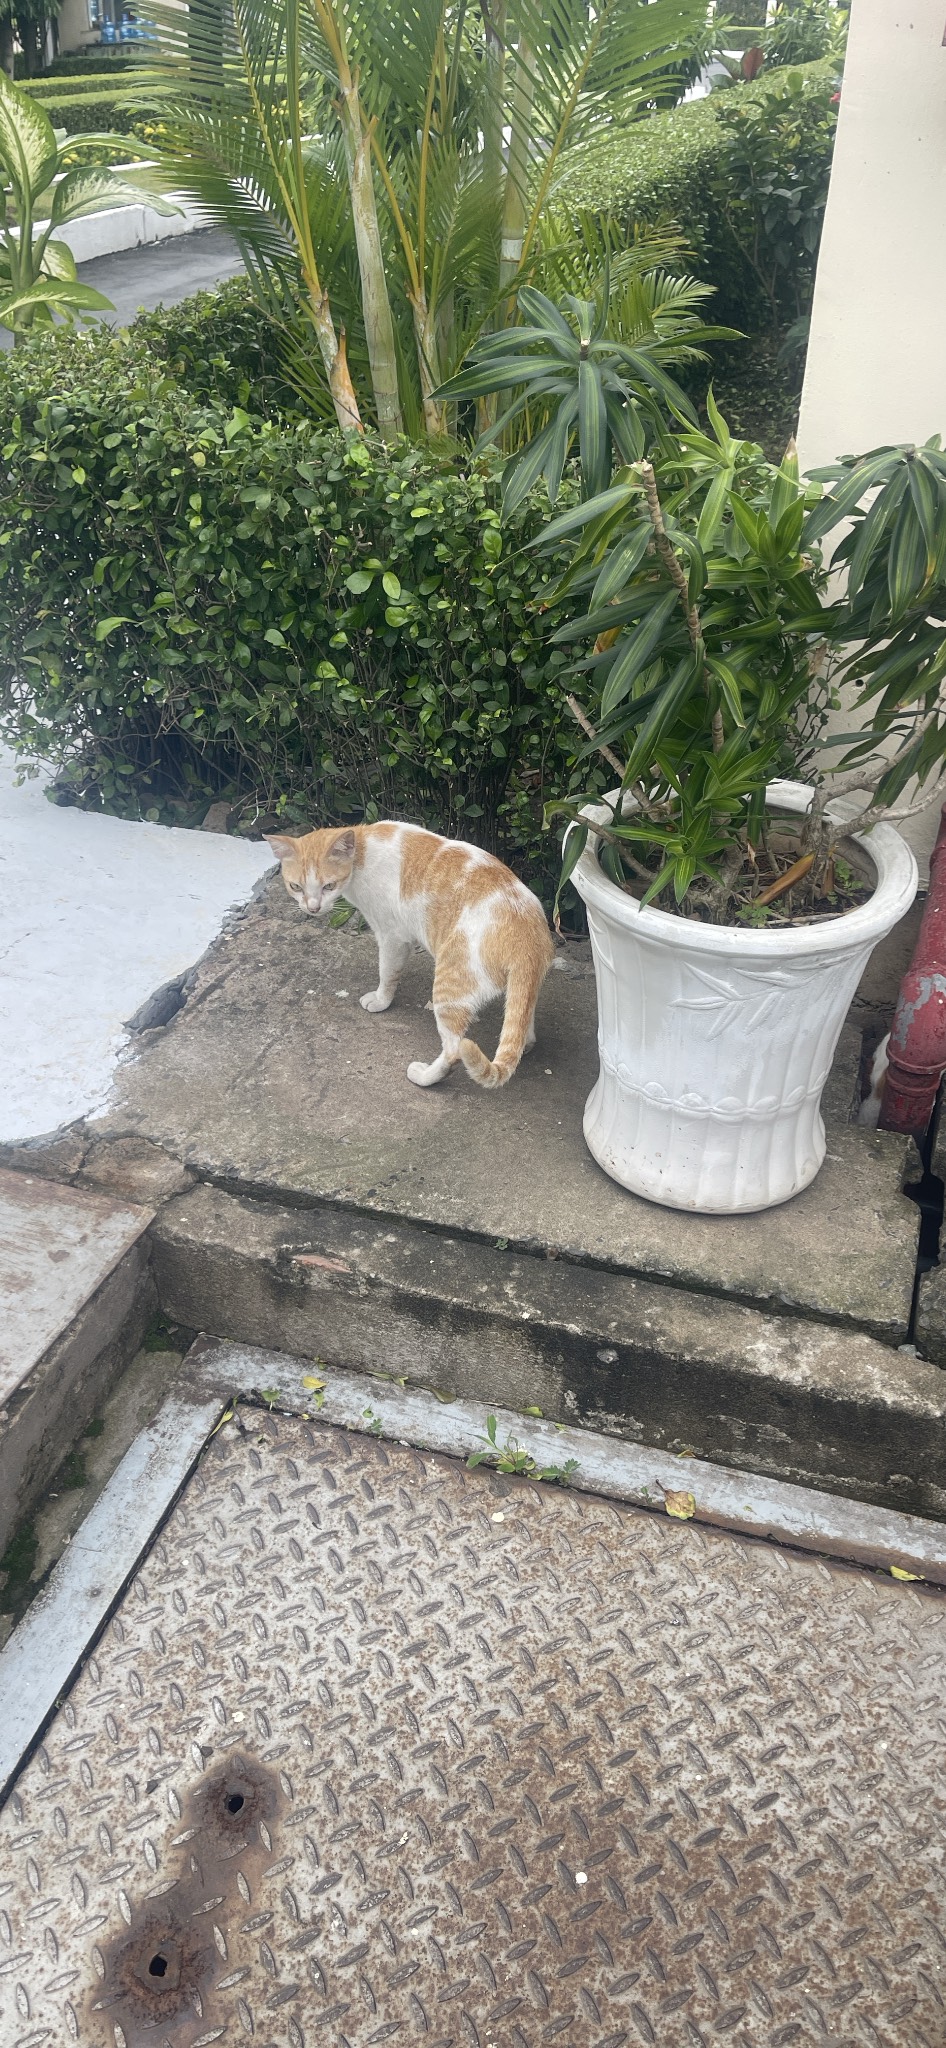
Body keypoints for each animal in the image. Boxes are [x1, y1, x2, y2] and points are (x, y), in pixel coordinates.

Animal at [265, 821, 555, 1089]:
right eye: (295, 886)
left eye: (328, 886)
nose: (312, 909)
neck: (362, 850)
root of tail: (528, 937)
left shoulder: (391, 937)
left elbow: (387, 973)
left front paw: (381, 1000)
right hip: (520, 990)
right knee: (521, 1023)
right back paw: (524, 1044)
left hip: (449, 987)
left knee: (454, 1050)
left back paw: (424, 1077)